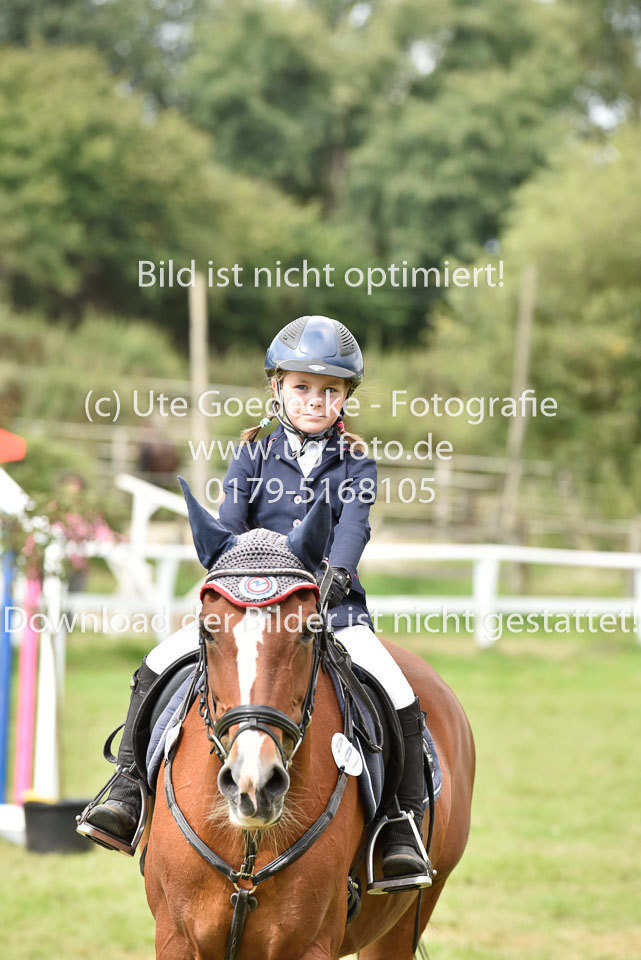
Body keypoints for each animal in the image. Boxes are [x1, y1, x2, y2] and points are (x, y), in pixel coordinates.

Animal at [144, 487, 475, 960]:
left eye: (307, 629)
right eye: (208, 630)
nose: (253, 784)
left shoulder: (309, 944)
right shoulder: (175, 937)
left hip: (408, 914)